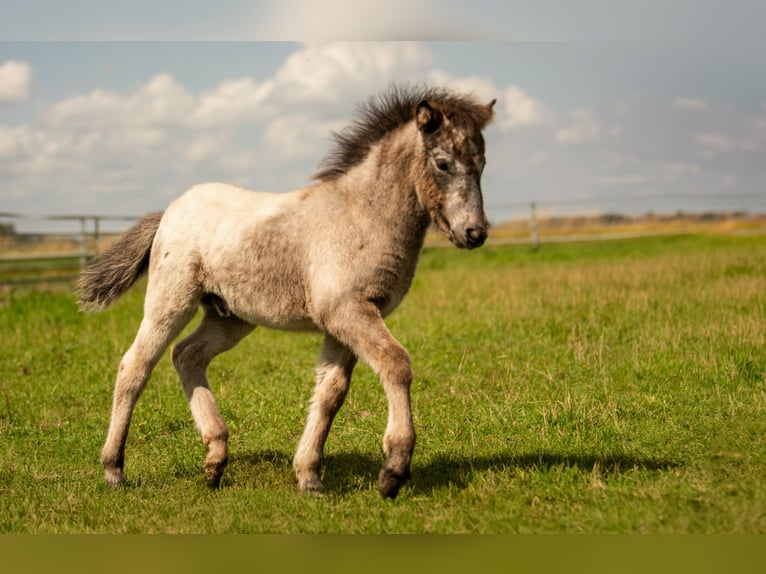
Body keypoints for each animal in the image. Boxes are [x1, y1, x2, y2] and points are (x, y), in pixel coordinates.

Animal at [78, 84, 498, 500]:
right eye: (443, 163)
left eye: (482, 163)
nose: (475, 233)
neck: (362, 215)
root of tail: (169, 210)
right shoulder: (348, 311)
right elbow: (396, 363)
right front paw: (393, 469)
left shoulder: (343, 320)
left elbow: (331, 392)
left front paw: (309, 475)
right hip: (171, 300)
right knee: (135, 365)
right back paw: (114, 469)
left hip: (230, 316)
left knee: (186, 355)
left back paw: (215, 458)